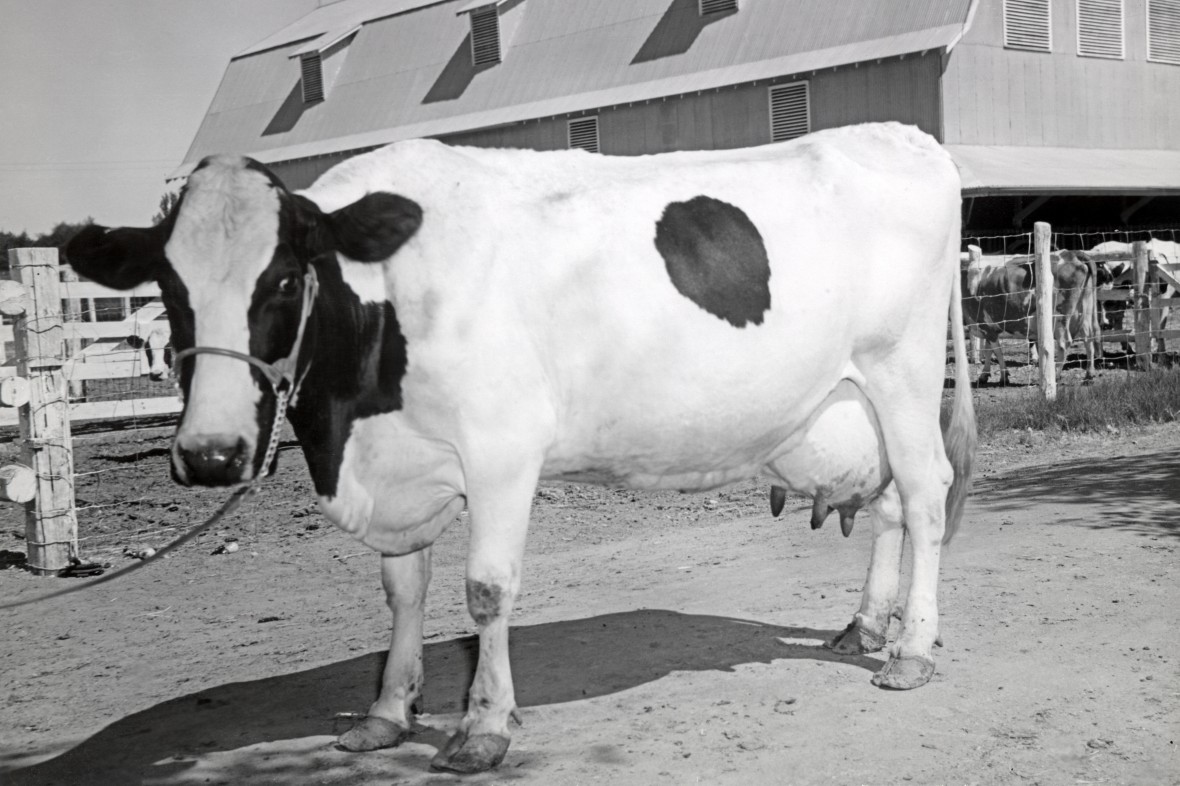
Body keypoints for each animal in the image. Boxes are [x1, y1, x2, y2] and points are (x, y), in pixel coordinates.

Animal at [65, 122, 975, 774]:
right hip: (859, 401)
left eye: (284, 278)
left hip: (901, 371)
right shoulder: (406, 466)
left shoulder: (501, 448)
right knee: (891, 505)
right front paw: (386, 715)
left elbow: (485, 591)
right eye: (168, 289)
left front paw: (483, 727)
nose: (211, 454)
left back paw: (911, 651)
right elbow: (403, 593)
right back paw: (866, 624)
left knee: (925, 496)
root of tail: (902, 135)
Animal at [961, 250, 1101, 385]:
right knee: (1088, 339)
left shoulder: (984, 324)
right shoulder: (989, 328)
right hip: (1085, 311)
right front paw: (984, 375)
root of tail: (1071, 253)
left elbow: (997, 351)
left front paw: (1003, 376)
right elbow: (989, 350)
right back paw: (1089, 375)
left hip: (1059, 317)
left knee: (1064, 343)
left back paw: (1055, 376)